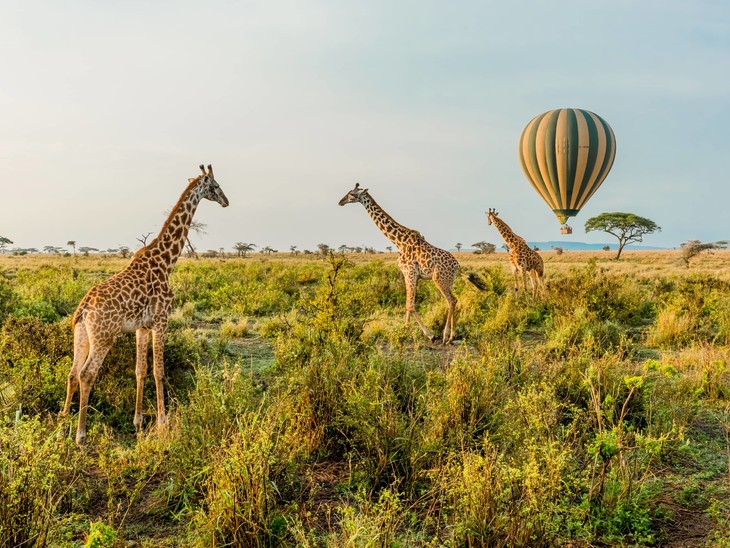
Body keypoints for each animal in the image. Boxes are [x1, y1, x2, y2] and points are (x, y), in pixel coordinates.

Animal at [61, 164, 229, 446]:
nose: (226, 201)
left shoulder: (142, 327)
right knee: (86, 374)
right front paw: (163, 422)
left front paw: (138, 421)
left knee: (72, 373)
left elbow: (140, 370)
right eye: (215, 186)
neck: (166, 262)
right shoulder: (162, 320)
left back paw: (63, 421)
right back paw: (81, 435)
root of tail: (84, 309)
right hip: (104, 337)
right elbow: (159, 371)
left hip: (81, 334)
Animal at [338, 185, 486, 346]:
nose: (341, 201)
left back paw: (445, 336)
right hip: (448, 281)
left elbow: (410, 305)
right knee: (453, 300)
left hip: (439, 279)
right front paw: (404, 329)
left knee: (451, 300)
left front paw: (429, 335)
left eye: (352, 194)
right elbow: (408, 304)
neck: (398, 242)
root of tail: (457, 266)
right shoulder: (410, 275)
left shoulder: (409, 272)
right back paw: (452, 336)